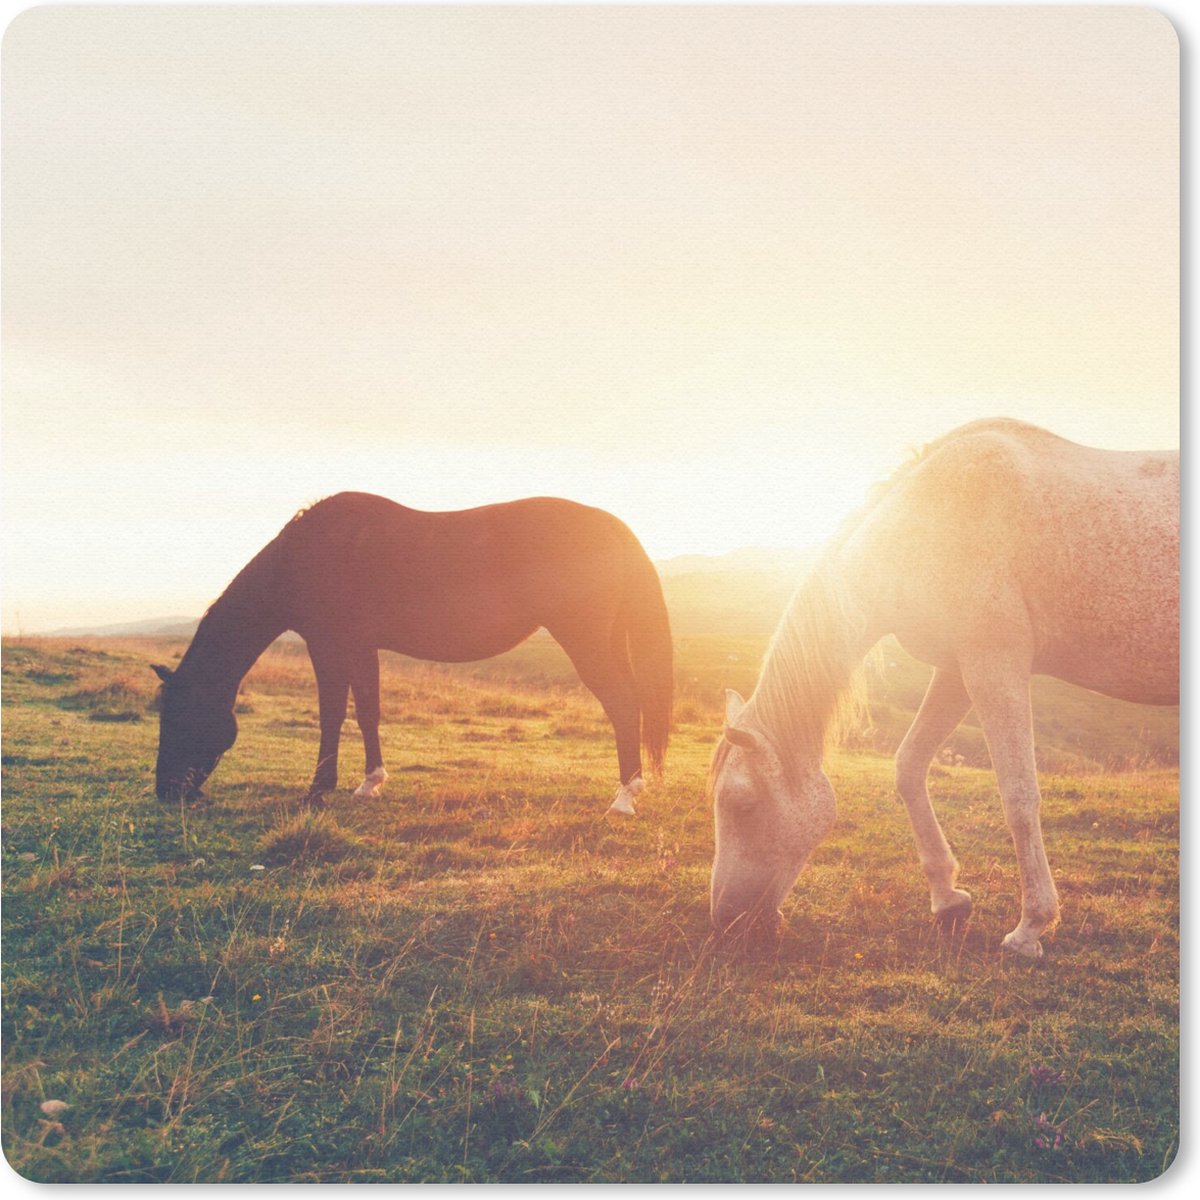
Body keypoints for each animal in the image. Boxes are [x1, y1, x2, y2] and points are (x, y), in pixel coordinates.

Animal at [152, 492, 673, 815]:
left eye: (178, 717)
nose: (167, 792)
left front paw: (318, 790)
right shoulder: (361, 647)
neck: (304, 557)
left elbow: (330, 714)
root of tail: (612, 526)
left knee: (622, 703)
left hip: (584, 639)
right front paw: (370, 783)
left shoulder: (328, 645)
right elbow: (367, 711)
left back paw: (624, 797)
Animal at [709, 419, 1178, 958]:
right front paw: (948, 898)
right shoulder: (956, 671)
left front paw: (1030, 927)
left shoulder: (994, 663)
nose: (724, 919)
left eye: (743, 805)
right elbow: (909, 767)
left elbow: (1019, 795)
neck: (926, 525)